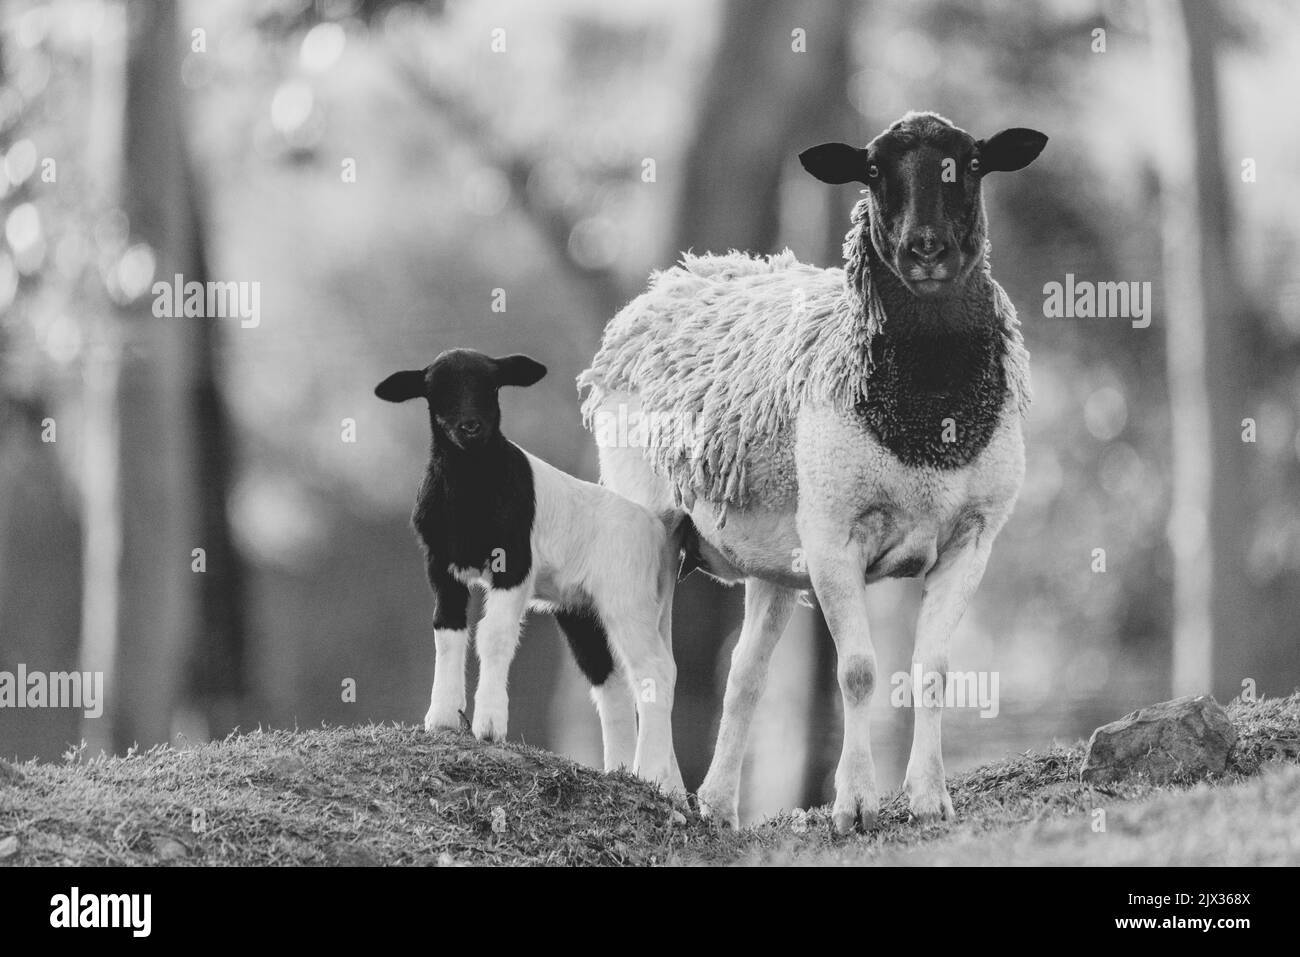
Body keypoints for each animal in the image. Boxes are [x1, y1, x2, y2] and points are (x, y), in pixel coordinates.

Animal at [374, 348, 686, 790]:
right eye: (435, 390)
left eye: (492, 385)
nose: (471, 427)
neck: (469, 488)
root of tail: (656, 528)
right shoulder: (440, 566)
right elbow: (447, 631)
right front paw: (442, 717)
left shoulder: (514, 563)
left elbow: (493, 635)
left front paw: (489, 726)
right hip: (581, 610)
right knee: (611, 684)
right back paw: (621, 771)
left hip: (628, 597)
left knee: (656, 671)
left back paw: (653, 774)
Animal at [579, 111, 1045, 832]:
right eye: (873, 170)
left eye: (971, 164)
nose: (926, 249)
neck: (929, 421)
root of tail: (669, 284)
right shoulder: (833, 536)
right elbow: (857, 671)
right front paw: (854, 804)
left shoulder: (972, 539)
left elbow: (933, 669)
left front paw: (930, 797)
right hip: (648, 515)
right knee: (645, 655)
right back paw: (655, 782)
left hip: (771, 562)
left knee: (743, 673)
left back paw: (715, 803)